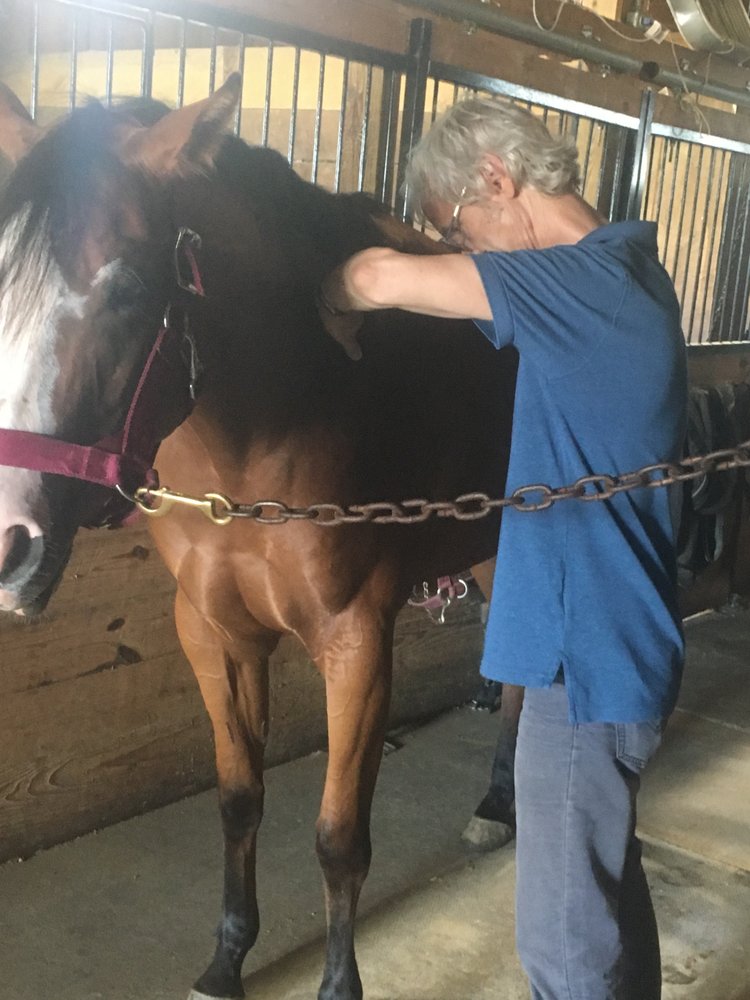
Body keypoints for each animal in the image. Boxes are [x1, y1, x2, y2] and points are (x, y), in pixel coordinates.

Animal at [0, 75, 521, 999]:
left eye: (126, 292)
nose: (8, 545)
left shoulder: (357, 643)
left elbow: (339, 837)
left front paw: (339, 984)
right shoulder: (215, 633)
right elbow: (239, 799)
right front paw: (227, 958)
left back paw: (500, 805)